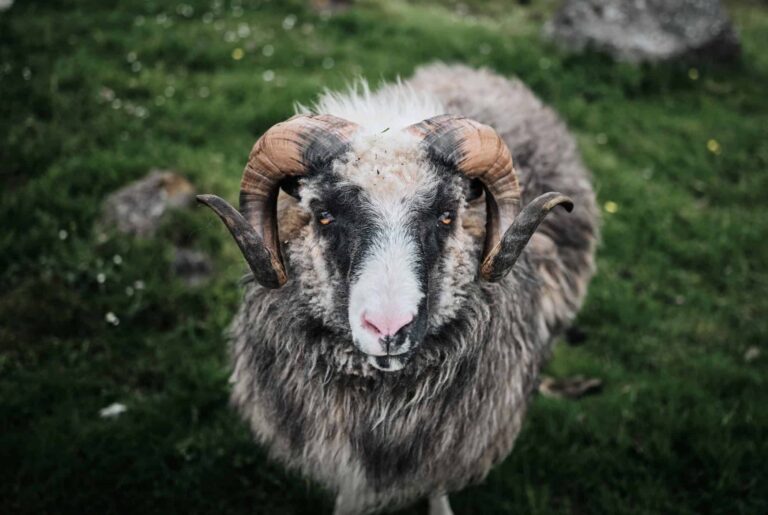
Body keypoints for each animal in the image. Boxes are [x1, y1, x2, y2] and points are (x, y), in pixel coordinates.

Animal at [198, 62, 600, 512]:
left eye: (447, 214)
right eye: (323, 215)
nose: (389, 329)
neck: (382, 405)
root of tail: (473, 69)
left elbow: (437, 478)